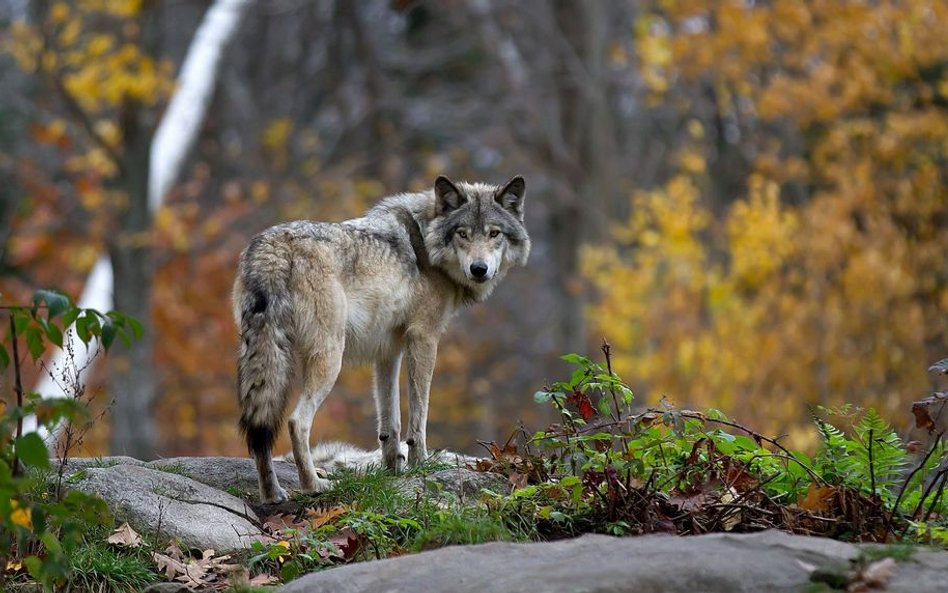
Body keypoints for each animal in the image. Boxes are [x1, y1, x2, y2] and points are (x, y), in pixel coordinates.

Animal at [230, 175, 524, 500]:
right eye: (463, 234)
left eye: (494, 233)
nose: (479, 269)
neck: (425, 242)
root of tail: (273, 247)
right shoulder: (424, 338)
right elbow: (419, 414)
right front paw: (421, 463)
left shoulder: (388, 351)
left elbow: (390, 421)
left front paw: (393, 469)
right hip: (330, 358)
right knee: (297, 421)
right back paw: (313, 485)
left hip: (265, 357)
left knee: (261, 428)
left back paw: (273, 494)